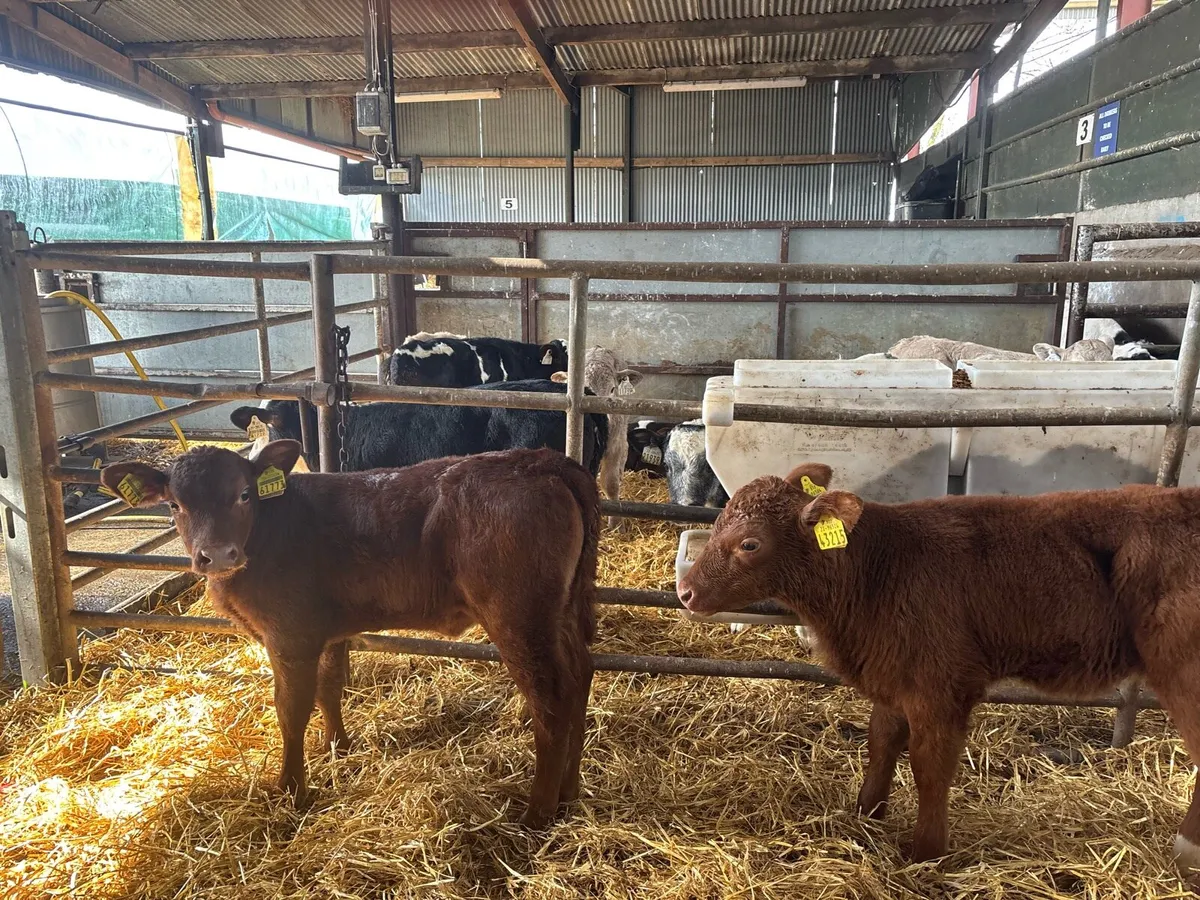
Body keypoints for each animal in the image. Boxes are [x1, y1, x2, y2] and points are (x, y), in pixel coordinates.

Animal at [100, 444, 599, 827]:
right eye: (174, 505)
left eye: (243, 494)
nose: (217, 555)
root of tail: (539, 459)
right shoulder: (327, 630)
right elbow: (330, 687)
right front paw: (337, 748)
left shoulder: (290, 636)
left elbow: (291, 709)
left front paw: (291, 790)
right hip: (561, 611)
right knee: (581, 676)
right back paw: (569, 793)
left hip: (519, 617)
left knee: (551, 699)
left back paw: (536, 813)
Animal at [676, 462, 1200, 879]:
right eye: (718, 520)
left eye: (749, 543)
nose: (684, 592)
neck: (878, 570)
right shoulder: (893, 676)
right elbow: (882, 743)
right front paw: (866, 814)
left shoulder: (941, 685)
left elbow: (930, 766)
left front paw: (926, 853)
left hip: (1184, 670)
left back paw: (1185, 852)